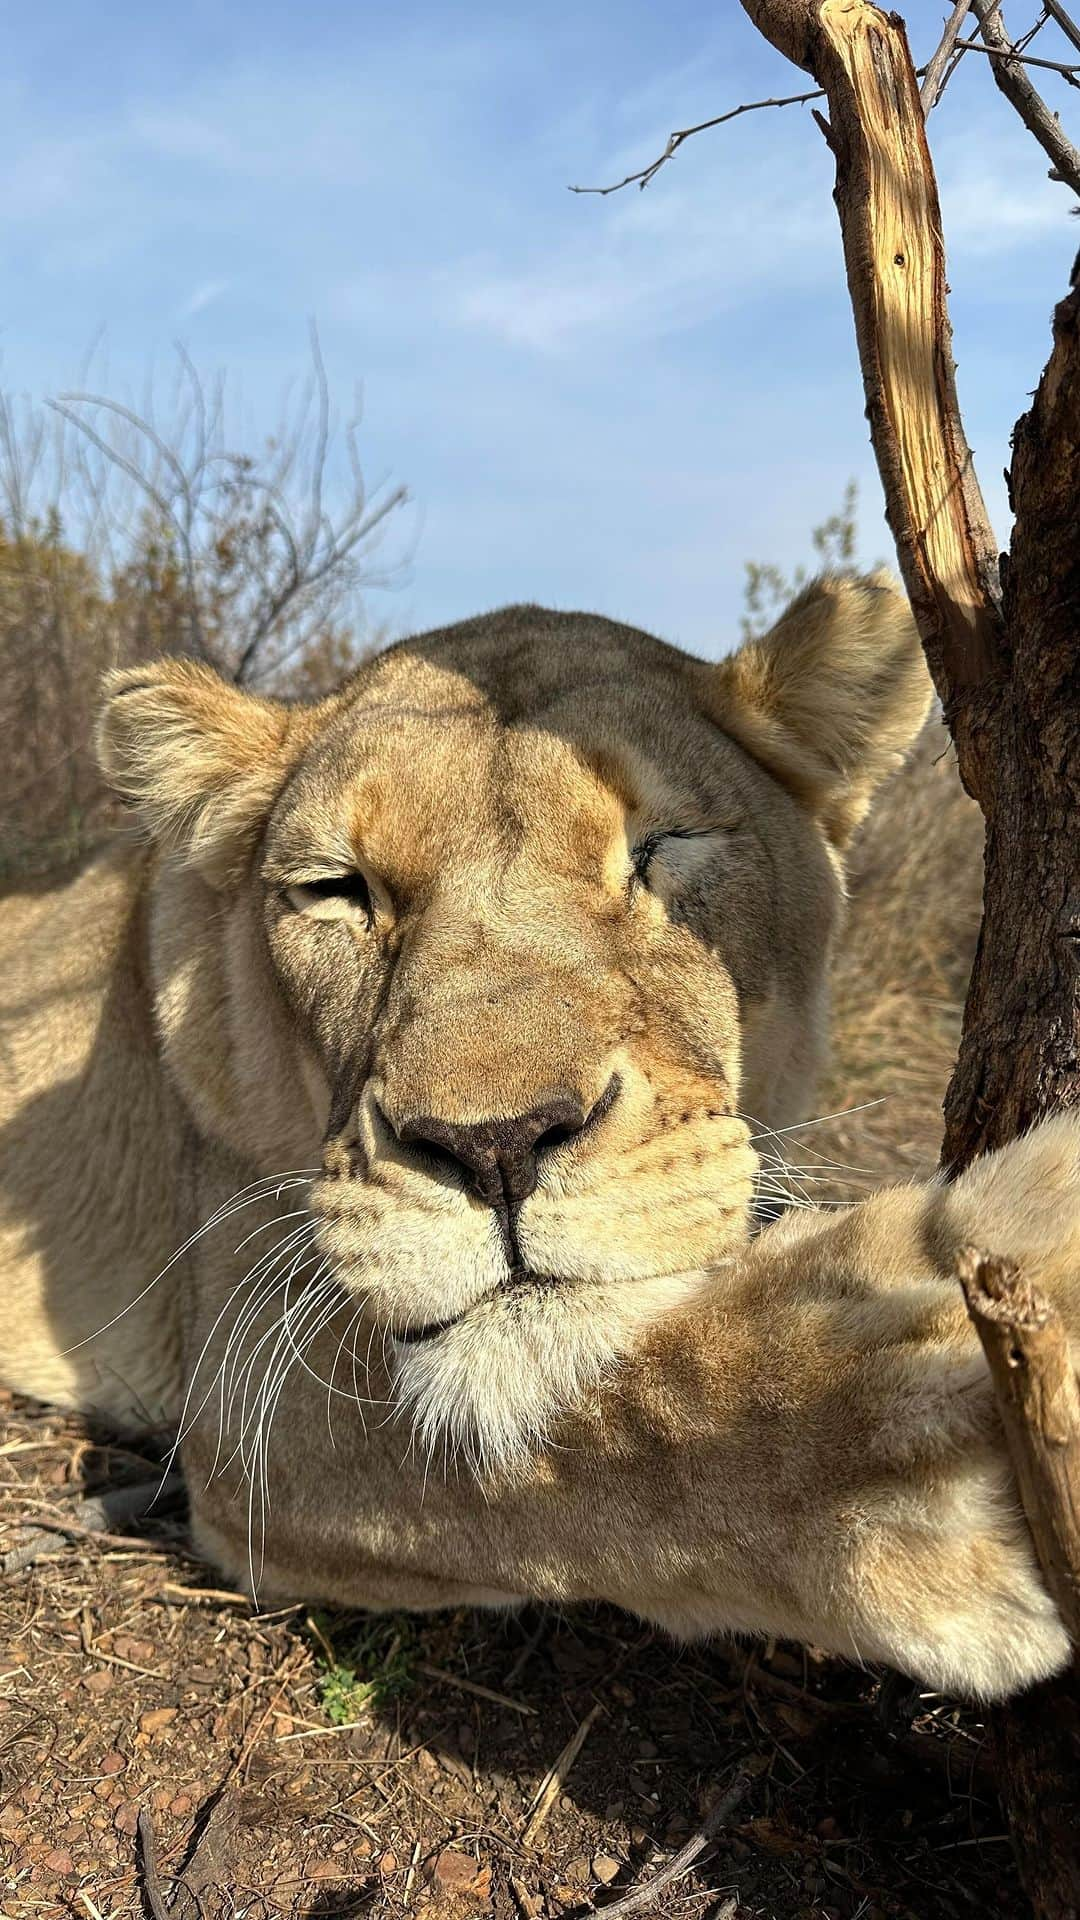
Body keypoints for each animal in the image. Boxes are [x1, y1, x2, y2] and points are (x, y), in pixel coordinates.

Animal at [4, 576, 1068, 1704]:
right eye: (335, 887)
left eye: (665, 846)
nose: (496, 1147)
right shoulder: (248, 1388)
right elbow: (597, 1427)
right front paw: (941, 1407)